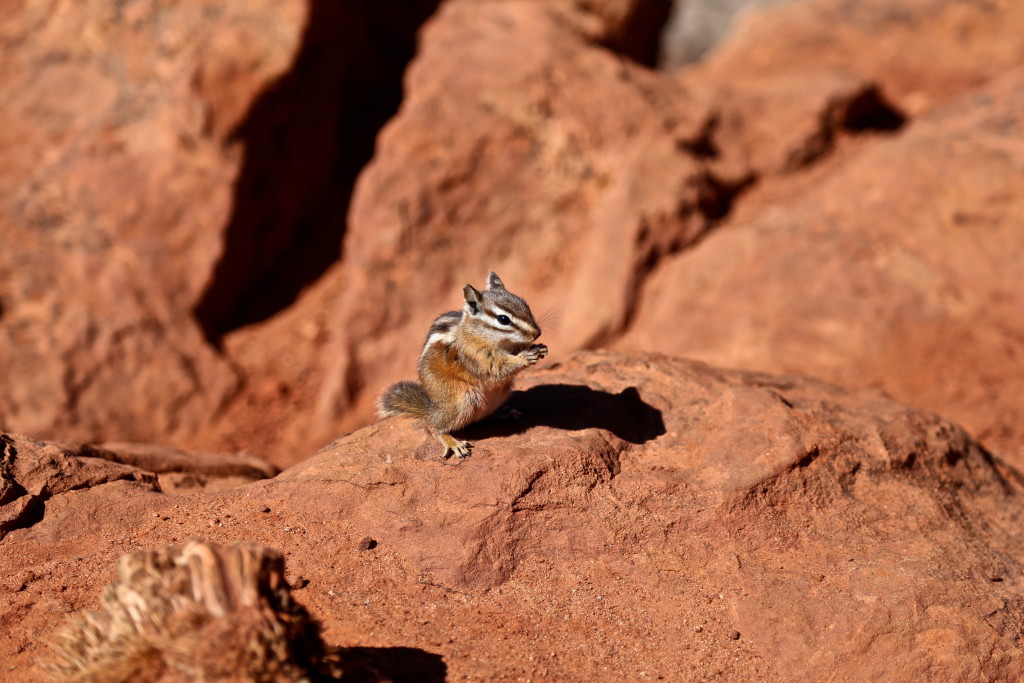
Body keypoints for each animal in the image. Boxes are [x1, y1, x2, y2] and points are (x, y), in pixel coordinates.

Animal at [377, 272, 548, 459]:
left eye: (525, 304)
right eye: (503, 319)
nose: (537, 333)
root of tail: (431, 407)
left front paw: (539, 348)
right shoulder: (477, 356)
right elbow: (497, 369)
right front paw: (525, 357)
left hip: (501, 393)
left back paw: (505, 413)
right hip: (461, 399)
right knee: (435, 426)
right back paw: (453, 442)